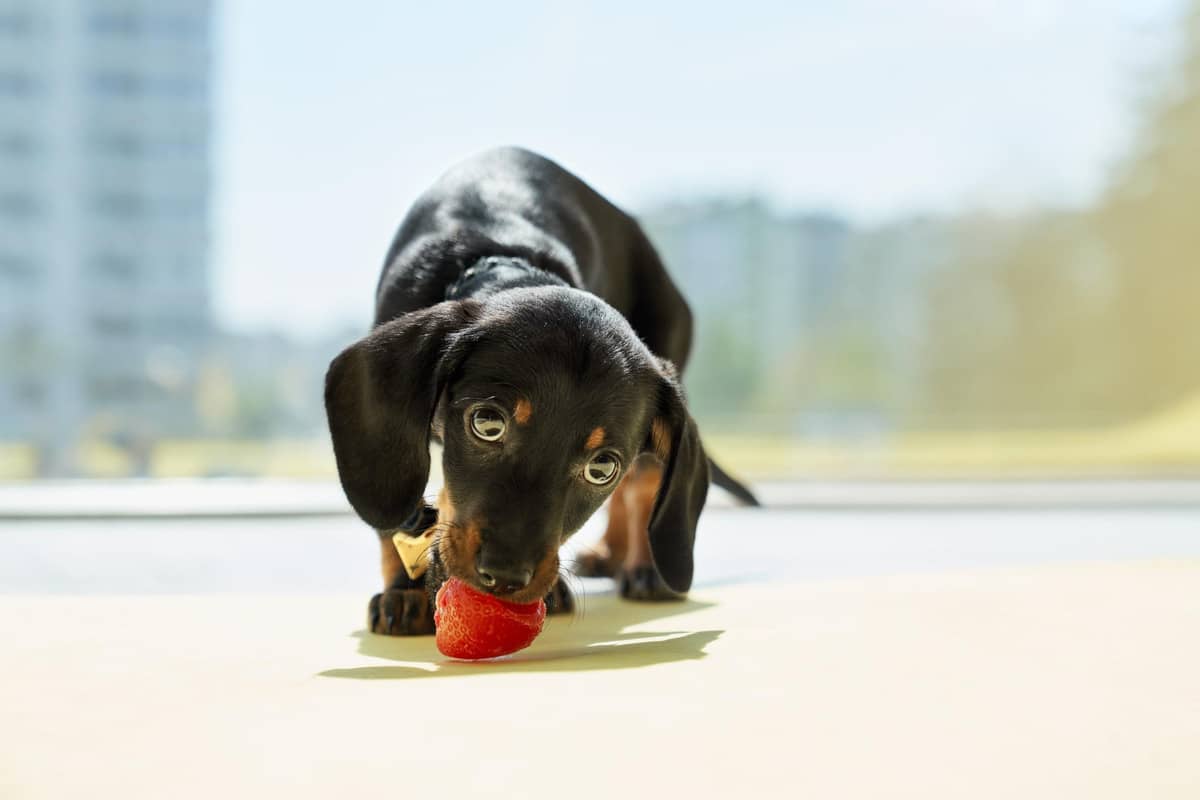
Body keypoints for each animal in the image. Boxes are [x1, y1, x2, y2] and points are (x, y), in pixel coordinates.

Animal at [324, 146, 753, 633]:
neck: (500, 255)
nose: (504, 577)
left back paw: (643, 568)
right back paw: (609, 554)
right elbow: (397, 516)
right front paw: (404, 590)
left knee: (643, 479)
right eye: (487, 422)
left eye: (601, 468)